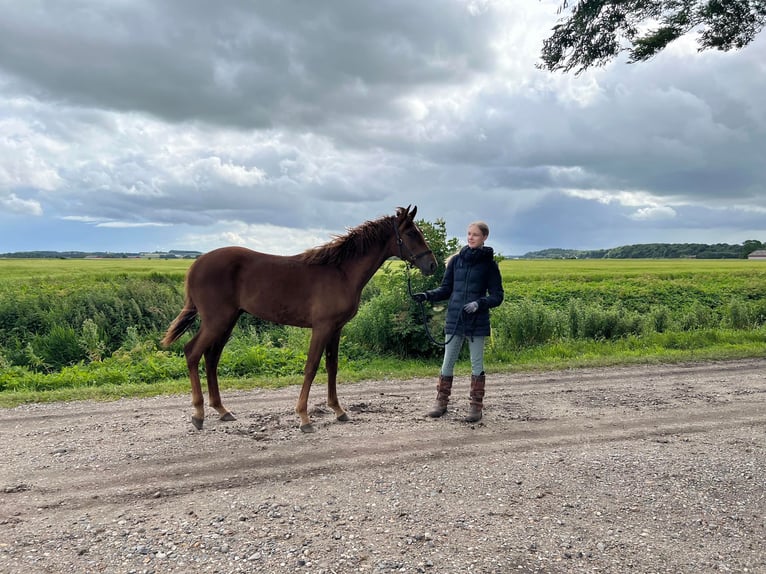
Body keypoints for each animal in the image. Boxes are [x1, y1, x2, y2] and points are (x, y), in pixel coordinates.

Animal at [162, 205, 438, 434]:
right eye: (411, 233)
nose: (432, 265)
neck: (340, 272)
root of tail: (196, 265)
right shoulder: (322, 327)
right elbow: (311, 367)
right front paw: (304, 418)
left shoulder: (336, 329)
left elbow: (332, 366)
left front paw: (338, 410)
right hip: (216, 321)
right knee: (192, 353)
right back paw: (198, 414)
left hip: (227, 322)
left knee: (211, 358)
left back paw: (222, 410)